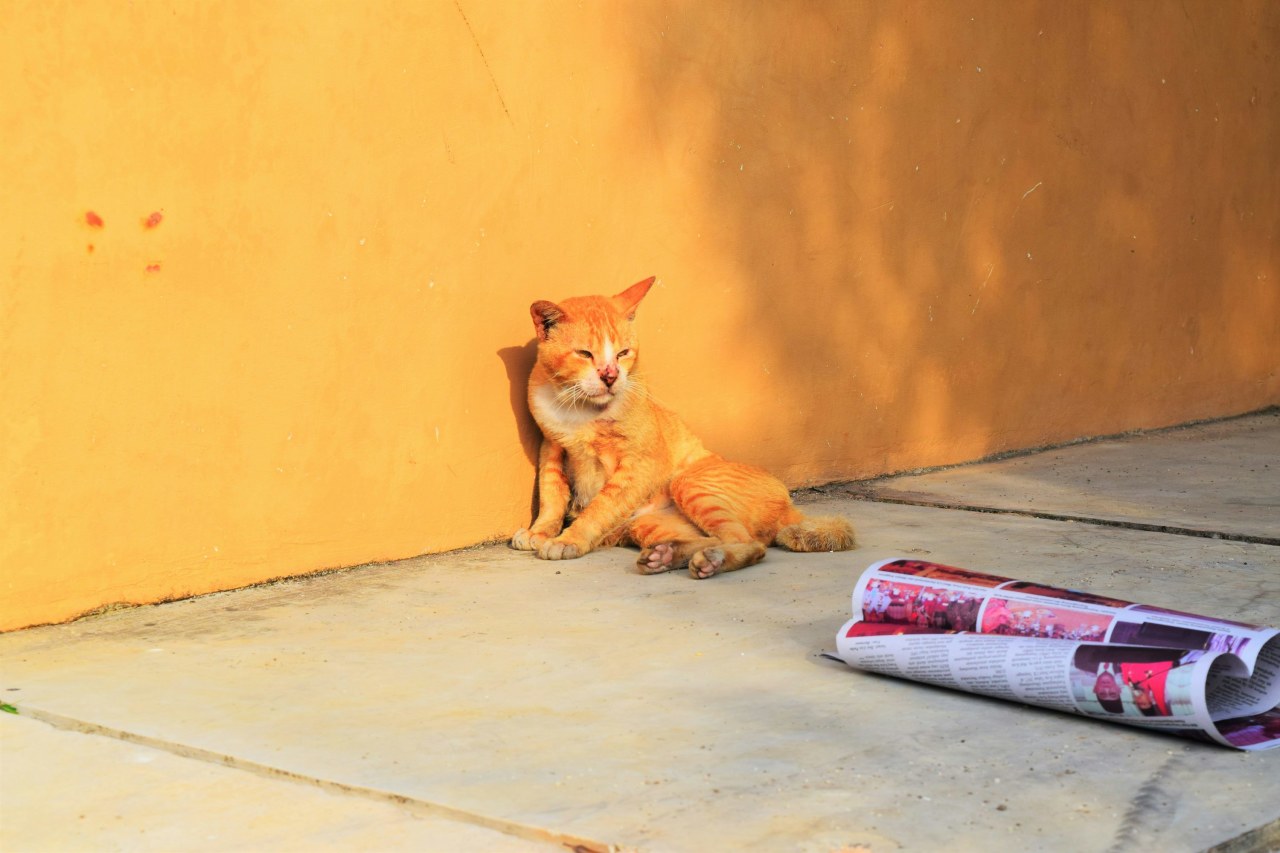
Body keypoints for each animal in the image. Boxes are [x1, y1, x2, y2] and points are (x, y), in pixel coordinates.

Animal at [510, 276, 857, 578]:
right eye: (584, 353)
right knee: (715, 539)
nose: (611, 376)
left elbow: (600, 505)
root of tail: (790, 506)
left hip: (688, 483)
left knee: (750, 544)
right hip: (648, 523)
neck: (580, 411)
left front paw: (569, 539)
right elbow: (552, 495)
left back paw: (708, 560)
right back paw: (665, 555)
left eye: (623, 353)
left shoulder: (641, 463)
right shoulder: (552, 447)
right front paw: (541, 532)